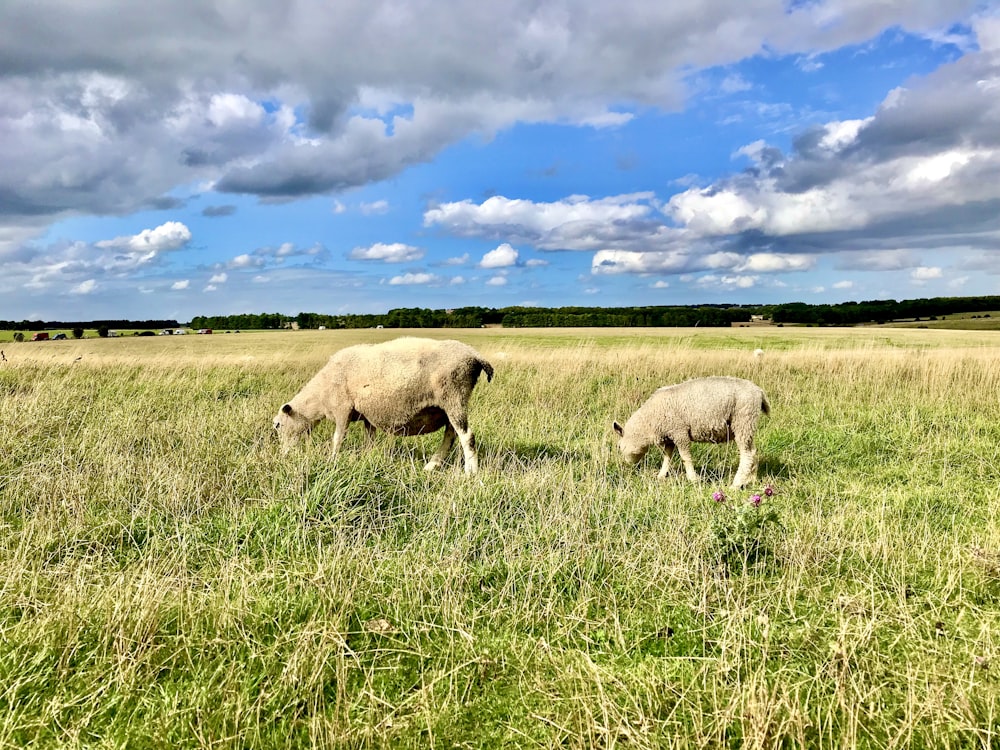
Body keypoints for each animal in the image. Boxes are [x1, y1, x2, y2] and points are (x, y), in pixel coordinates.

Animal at [272, 336, 494, 472]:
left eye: (278, 425)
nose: (283, 455)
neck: (320, 395)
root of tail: (474, 356)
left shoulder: (343, 409)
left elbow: (337, 438)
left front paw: (332, 461)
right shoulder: (366, 415)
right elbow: (369, 439)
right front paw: (368, 458)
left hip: (453, 395)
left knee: (467, 436)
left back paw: (470, 472)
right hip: (448, 405)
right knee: (451, 434)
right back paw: (433, 465)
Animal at [612, 376, 768, 494]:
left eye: (619, 447)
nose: (628, 465)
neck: (649, 422)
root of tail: (759, 391)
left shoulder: (679, 432)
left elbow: (685, 457)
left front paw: (693, 478)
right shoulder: (670, 436)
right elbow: (667, 457)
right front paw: (661, 475)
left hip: (743, 420)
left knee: (746, 455)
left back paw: (736, 484)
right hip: (748, 426)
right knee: (753, 451)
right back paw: (751, 479)